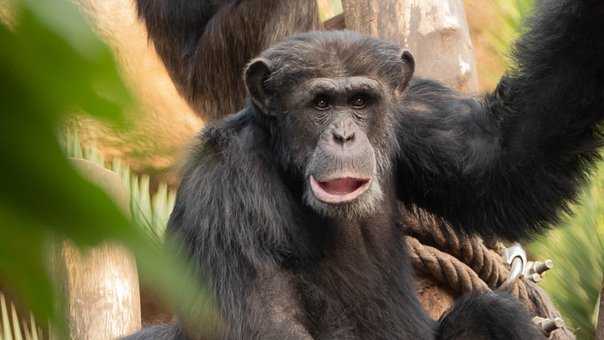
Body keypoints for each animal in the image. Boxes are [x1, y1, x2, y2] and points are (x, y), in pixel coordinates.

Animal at [127, 0, 604, 340]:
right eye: (321, 103)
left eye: (360, 101)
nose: (344, 136)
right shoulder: (226, 186)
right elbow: (270, 323)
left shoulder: (412, 113)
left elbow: (504, 155)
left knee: (488, 314)